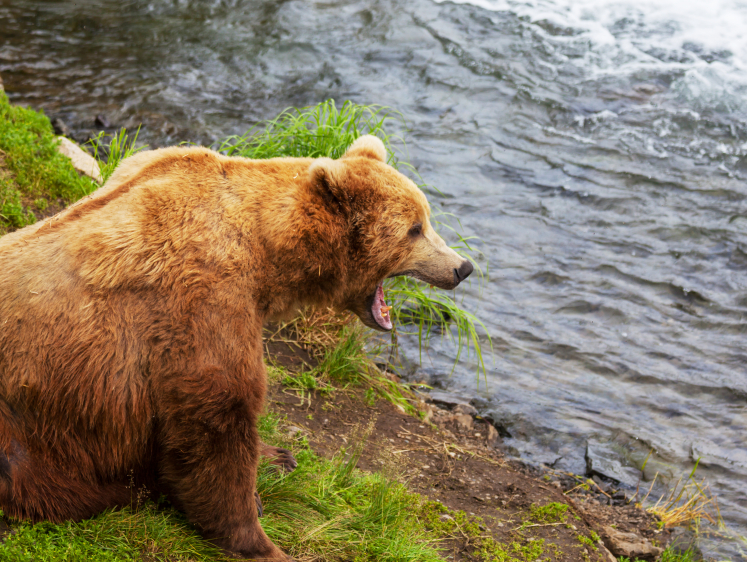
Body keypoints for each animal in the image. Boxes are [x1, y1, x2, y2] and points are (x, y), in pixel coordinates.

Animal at [0, 135, 474, 556]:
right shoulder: (203, 298)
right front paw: (260, 541)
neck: (266, 252)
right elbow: (216, 417)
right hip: (33, 428)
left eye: (427, 217)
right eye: (415, 229)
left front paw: (277, 455)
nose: (463, 267)